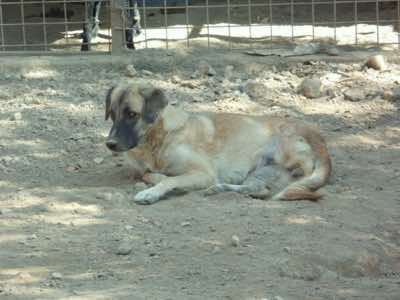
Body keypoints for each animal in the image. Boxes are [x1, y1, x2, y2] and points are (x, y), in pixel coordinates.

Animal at [104, 81, 332, 205]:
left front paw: (151, 192)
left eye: (132, 114)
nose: (110, 144)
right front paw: (157, 177)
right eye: (112, 114)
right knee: (260, 190)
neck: (158, 140)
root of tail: (318, 137)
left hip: (277, 147)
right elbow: (149, 174)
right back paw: (219, 189)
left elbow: (169, 180)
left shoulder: (203, 173)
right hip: (258, 172)